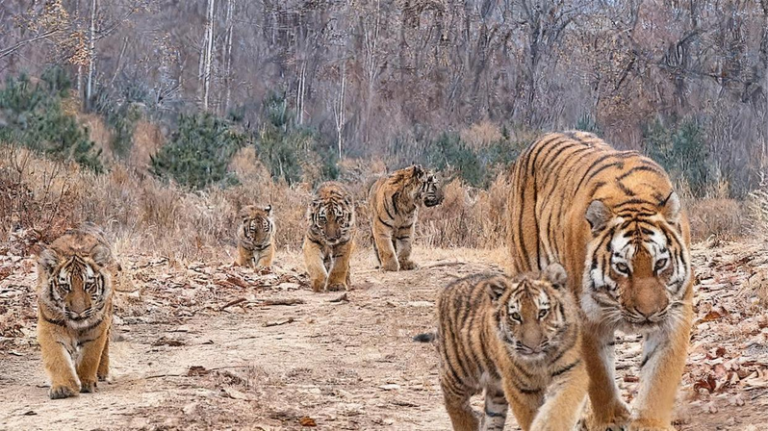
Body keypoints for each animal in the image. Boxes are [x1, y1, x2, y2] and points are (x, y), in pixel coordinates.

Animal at [35, 224, 119, 399]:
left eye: (88, 285)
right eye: (65, 286)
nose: (79, 312)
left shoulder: (97, 328)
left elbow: (90, 356)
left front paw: (87, 383)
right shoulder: (49, 327)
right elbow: (57, 359)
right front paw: (63, 388)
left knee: (106, 345)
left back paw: (101, 373)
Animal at [423, 264, 587, 431]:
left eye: (542, 313)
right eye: (515, 316)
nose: (532, 347)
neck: (541, 361)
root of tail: (451, 285)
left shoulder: (570, 372)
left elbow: (559, 408)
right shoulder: (520, 389)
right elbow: (530, 416)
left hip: (496, 393)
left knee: (490, 416)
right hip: (458, 372)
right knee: (454, 402)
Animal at [506, 131, 693, 430]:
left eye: (660, 264)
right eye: (622, 267)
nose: (648, 313)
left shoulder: (674, 313)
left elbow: (660, 376)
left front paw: (649, 422)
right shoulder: (587, 319)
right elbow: (599, 376)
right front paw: (611, 419)